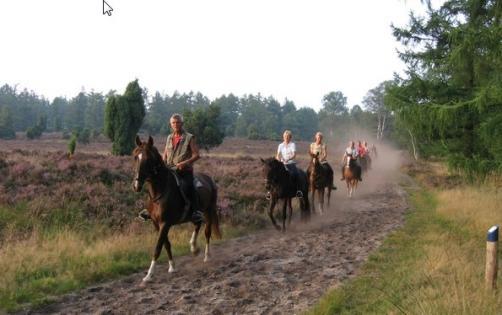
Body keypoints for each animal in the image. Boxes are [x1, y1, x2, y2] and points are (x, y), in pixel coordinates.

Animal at [132, 136, 221, 284]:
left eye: (148, 159)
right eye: (135, 157)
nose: (136, 185)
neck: (160, 192)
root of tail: (209, 179)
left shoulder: (165, 223)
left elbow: (158, 247)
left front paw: (149, 275)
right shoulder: (156, 224)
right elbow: (166, 244)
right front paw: (172, 267)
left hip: (209, 210)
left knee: (207, 232)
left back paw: (207, 256)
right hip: (194, 215)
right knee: (197, 224)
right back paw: (193, 247)